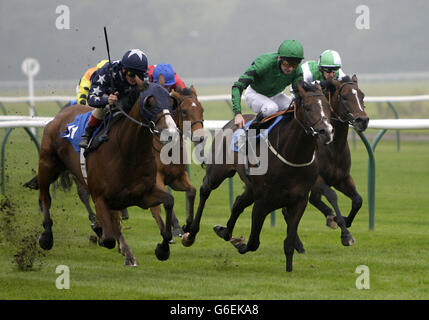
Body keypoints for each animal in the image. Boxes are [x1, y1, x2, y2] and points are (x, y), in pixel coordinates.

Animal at [35, 80, 179, 264]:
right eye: (150, 102)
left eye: (171, 101)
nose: (171, 133)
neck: (127, 153)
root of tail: (61, 114)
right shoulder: (100, 197)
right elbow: (109, 238)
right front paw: (103, 235)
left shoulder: (142, 195)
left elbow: (168, 201)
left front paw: (163, 248)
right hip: (47, 165)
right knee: (45, 197)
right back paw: (46, 237)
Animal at [181, 81, 334, 272]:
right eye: (307, 107)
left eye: (328, 106)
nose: (326, 131)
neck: (292, 155)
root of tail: (230, 123)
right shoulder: (262, 201)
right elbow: (254, 242)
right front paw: (240, 244)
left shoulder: (299, 201)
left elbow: (289, 243)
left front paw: (289, 271)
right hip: (218, 172)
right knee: (205, 191)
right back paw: (191, 233)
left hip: (250, 188)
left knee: (238, 202)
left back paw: (224, 231)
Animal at [308, 75, 368, 245]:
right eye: (344, 97)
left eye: (362, 96)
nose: (363, 120)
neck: (333, 148)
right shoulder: (317, 179)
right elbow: (332, 196)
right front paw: (344, 232)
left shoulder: (342, 178)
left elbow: (358, 200)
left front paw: (345, 220)